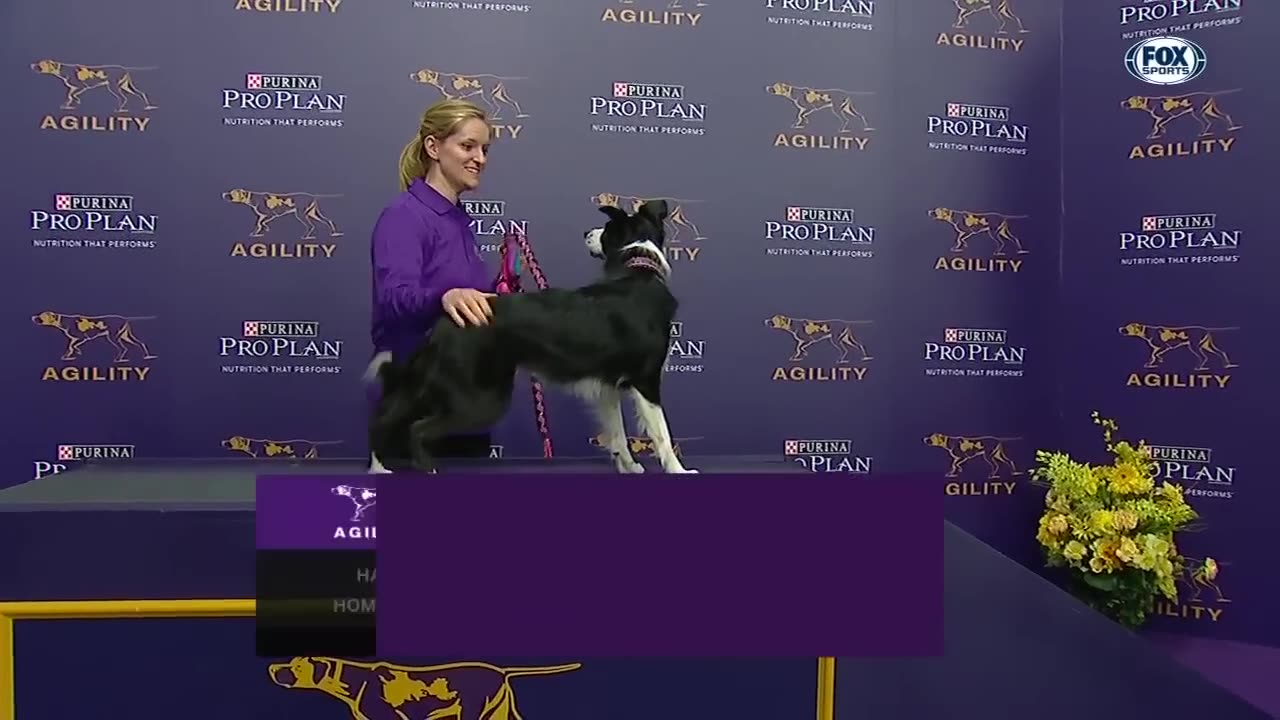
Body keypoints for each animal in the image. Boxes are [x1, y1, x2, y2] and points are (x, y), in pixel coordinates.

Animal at [366, 198, 696, 474]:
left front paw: (629, 467)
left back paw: (380, 468)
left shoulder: (608, 385)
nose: (587, 232)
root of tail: (445, 323)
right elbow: (662, 433)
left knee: (389, 416)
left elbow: (617, 432)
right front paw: (679, 471)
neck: (639, 270)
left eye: (605, 231)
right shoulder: (646, 379)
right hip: (479, 397)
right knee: (416, 427)